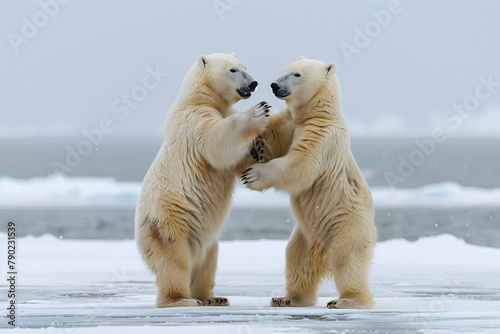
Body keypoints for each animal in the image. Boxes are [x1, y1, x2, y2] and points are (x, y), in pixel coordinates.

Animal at [135, 51, 270, 308]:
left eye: (245, 67)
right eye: (233, 70)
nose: (253, 83)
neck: (198, 98)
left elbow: (237, 163)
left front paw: (259, 148)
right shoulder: (193, 121)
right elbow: (217, 141)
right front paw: (258, 111)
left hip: (204, 235)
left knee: (209, 258)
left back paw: (213, 297)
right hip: (168, 222)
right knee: (173, 260)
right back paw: (181, 300)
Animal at [241, 56, 376, 310]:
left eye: (297, 75)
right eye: (285, 70)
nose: (274, 85)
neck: (316, 113)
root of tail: (321, 249)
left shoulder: (322, 136)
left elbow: (300, 165)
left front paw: (252, 176)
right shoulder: (290, 123)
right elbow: (275, 138)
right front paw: (257, 144)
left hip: (348, 223)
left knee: (347, 257)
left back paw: (347, 300)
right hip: (306, 233)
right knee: (297, 258)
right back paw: (287, 298)